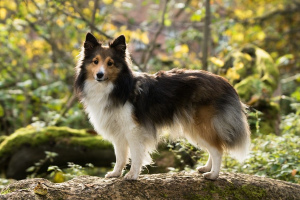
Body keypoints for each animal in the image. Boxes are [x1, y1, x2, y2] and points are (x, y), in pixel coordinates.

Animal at [75, 32, 251, 180]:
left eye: (110, 63)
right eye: (95, 62)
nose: (99, 75)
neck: (117, 87)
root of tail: (225, 82)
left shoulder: (133, 129)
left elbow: (136, 155)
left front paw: (132, 175)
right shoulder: (118, 131)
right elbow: (120, 156)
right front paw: (115, 174)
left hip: (201, 125)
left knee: (218, 149)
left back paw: (213, 175)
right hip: (194, 128)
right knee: (213, 147)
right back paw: (206, 169)